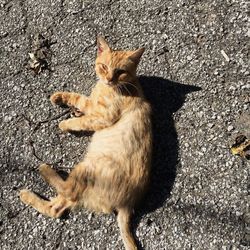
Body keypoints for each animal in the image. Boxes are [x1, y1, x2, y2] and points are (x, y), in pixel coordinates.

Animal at [19, 36, 152, 249]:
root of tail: (128, 205)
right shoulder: (92, 104)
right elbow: (79, 98)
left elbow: (82, 119)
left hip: (86, 168)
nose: (109, 79)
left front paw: (65, 123)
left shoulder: (103, 116)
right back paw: (27, 195)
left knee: (66, 191)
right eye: (104, 67)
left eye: (120, 72)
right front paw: (60, 97)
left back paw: (44, 169)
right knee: (56, 209)